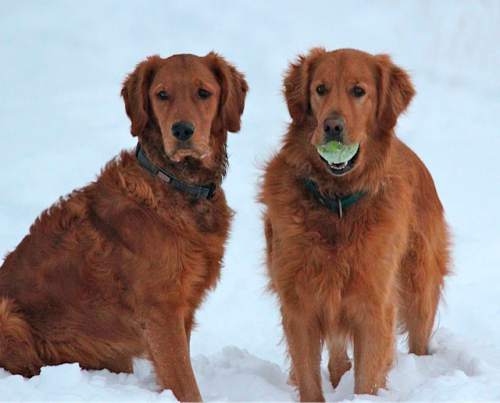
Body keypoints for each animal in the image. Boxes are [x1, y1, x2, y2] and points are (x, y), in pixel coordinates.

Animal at [0, 53, 248, 403]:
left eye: (204, 93)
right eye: (162, 95)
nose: (182, 130)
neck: (173, 183)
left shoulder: (180, 311)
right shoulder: (160, 313)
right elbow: (185, 386)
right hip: (8, 315)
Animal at [260, 47, 452, 400]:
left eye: (358, 91)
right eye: (320, 89)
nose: (332, 126)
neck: (337, 204)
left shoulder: (374, 305)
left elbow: (368, 378)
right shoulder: (299, 306)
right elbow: (309, 379)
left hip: (419, 285)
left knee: (419, 339)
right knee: (338, 353)